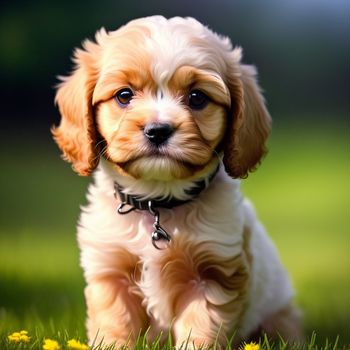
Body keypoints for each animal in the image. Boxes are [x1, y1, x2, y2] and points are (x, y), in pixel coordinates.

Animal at [52, 15, 300, 348]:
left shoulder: (212, 273)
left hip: (279, 316)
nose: (158, 130)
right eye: (124, 96)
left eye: (197, 97)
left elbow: (201, 329)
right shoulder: (111, 270)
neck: (158, 202)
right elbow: (116, 327)